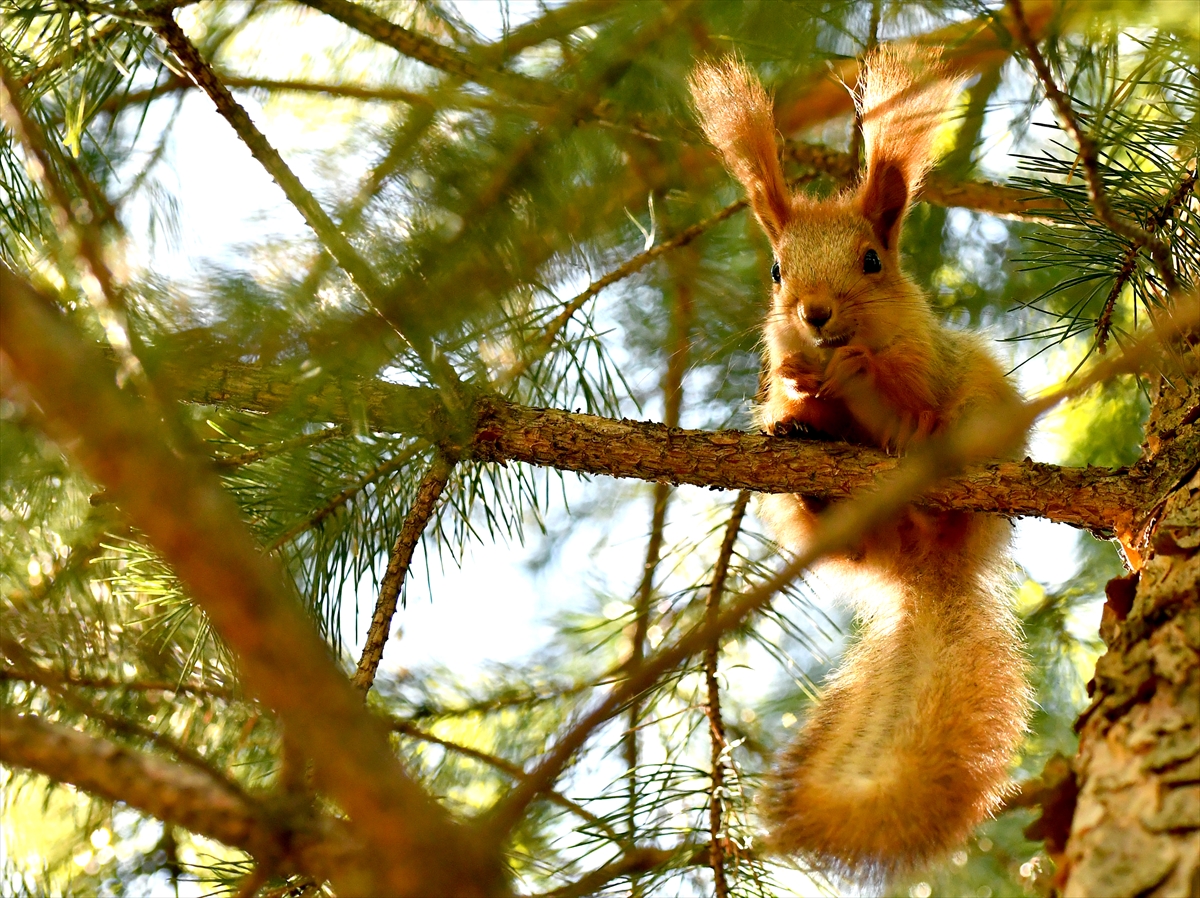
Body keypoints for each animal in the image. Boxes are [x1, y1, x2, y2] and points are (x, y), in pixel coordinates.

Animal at [691, 47, 1036, 878]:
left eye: (872, 260)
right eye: (777, 272)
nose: (814, 313)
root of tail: (928, 569)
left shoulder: (927, 363)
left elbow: (906, 393)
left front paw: (863, 383)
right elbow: (797, 391)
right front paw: (797, 395)